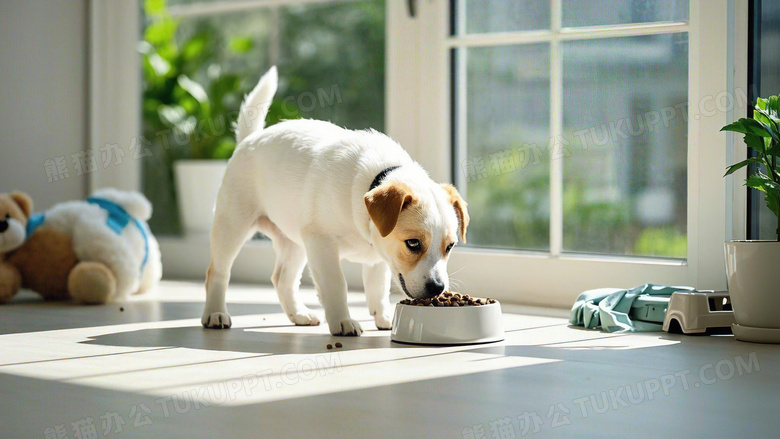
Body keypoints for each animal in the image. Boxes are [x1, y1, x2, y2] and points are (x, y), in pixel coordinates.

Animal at [203, 67, 470, 336]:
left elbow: (377, 288)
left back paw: (298, 314)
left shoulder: (377, 257)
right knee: (218, 272)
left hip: (296, 244)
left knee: (283, 279)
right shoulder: (322, 245)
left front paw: (384, 317)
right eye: (413, 243)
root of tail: (250, 139)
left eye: (450, 247)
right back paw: (215, 314)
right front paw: (343, 320)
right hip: (233, 228)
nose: (438, 288)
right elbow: (336, 284)